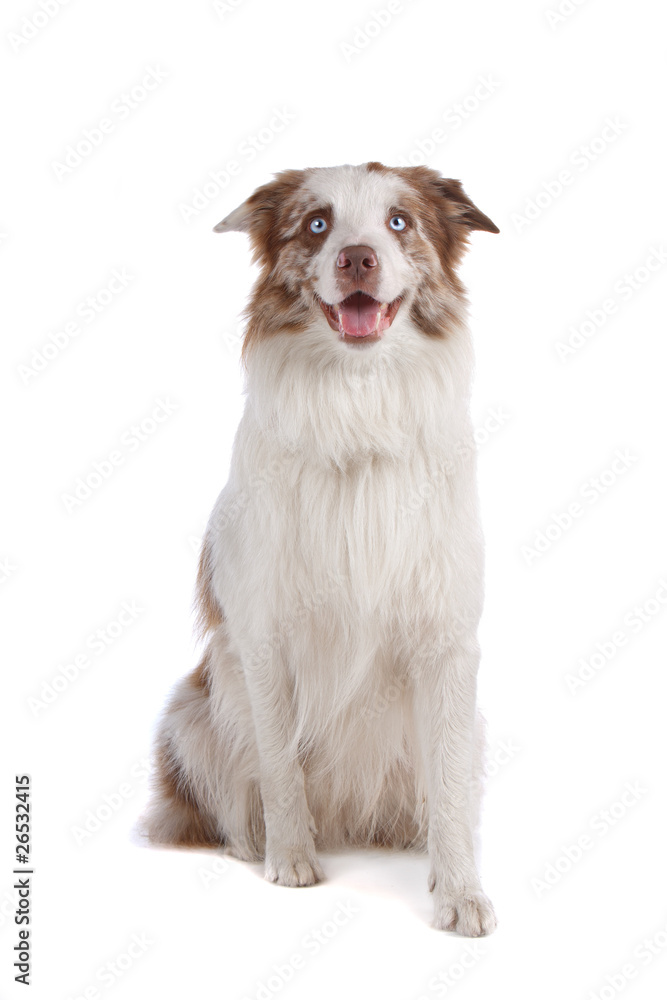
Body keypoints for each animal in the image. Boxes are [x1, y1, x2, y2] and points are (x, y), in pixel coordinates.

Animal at [146, 162, 500, 936]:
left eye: (399, 221)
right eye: (315, 224)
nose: (357, 258)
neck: (357, 406)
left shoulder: (447, 639)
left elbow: (450, 781)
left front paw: (459, 890)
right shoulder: (263, 635)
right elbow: (280, 761)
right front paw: (290, 856)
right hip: (191, 713)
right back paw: (254, 840)